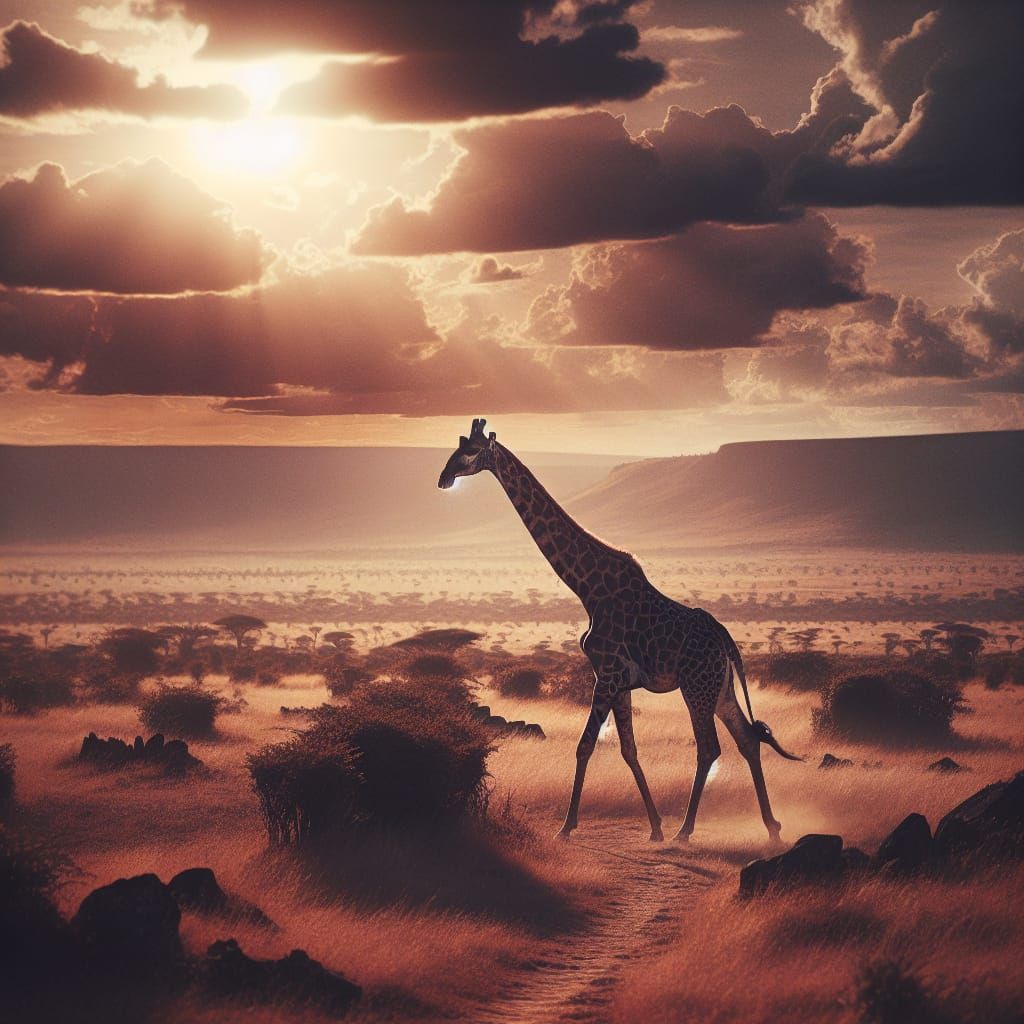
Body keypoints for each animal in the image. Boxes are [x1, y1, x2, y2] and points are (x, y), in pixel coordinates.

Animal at [438, 419, 802, 844]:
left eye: (469, 451)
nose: (443, 479)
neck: (587, 588)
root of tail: (727, 642)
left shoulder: (607, 673)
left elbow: (585, 745)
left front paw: (566, 827)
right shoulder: (619, 680)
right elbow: (629, 750)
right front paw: (655, 826)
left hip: (697, 687)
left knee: (710, 748)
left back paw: (686, 830)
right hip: (721, 689)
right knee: (747, 739)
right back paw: (771, 827)